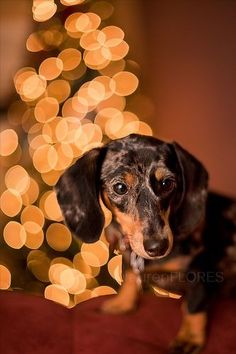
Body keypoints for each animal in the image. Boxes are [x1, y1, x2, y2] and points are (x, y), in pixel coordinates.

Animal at [55, 133, 236, 354]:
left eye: (167, 183)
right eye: (120, 188)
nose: (157, 247)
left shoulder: (202, 265)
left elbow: (195, 304)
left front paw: (189, 338)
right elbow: (130, 275)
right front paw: (122, 303)